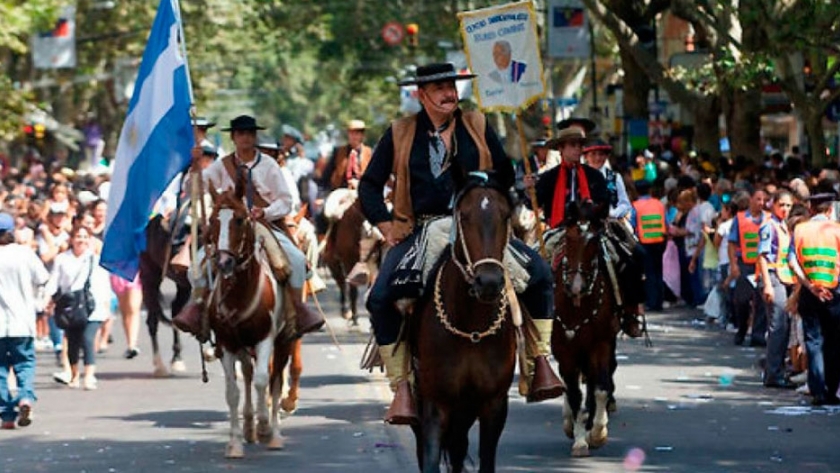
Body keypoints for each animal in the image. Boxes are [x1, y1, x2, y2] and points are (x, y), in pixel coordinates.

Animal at [139, 215, 188, 376]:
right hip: (149, 275)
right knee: (153, 321)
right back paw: (160, 366)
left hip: (182, 283)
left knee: (176, 309)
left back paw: (177, 359)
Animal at [206, 185, 298, 458]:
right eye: (211, 220)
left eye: (239, 219)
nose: (224, 263)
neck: (240, 293)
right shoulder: (227, 343)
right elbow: (233, 392)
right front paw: (235, 442)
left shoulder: (265, 339)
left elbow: (262, 381)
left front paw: (265, 426)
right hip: (241, 345)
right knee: (247, 373)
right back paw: (248, 427)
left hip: (283, 343)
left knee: (275, 380)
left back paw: (273, 434)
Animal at [410, 171, 516, 472]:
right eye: (464, 216)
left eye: (505, 215)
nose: (488, 282)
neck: (471, 327)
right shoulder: (435, 403)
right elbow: (429, 459)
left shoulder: (494, 404)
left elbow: (486, 460)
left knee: (458, 448)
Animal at [548, 215, 620, 458]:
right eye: (568, 242)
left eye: (594, 244)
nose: (576, 287)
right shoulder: (565, 350)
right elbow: (574, 394)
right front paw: (580, 440)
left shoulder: (601, 344)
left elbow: (600, 388)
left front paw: (597, 432)